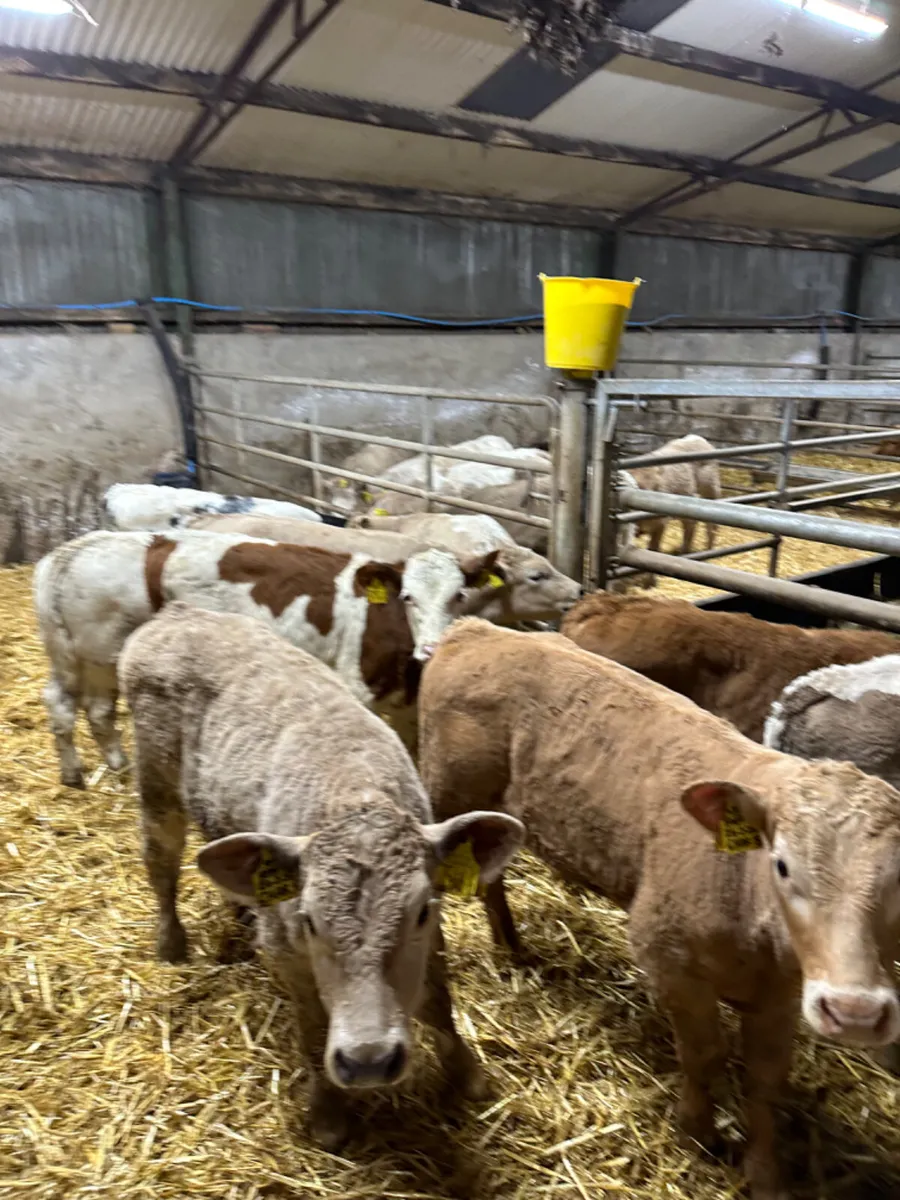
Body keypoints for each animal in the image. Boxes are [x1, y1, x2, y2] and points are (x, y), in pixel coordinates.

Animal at [34, 530, 493, 788]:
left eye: (459, 595)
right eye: (407, 597)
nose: (431, 648)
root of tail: (72, 551)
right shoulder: (357, 686)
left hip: (75, 658)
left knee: (67, 705)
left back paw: (90, 770)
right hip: (99, 655)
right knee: (91, 709)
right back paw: (100, 769)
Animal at [119, 603, 524, 1148]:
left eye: (420, 911)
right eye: (310, 920)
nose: (369, 1060)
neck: (354, 793)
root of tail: (179, 613)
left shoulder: (433, 935)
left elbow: (438, 999)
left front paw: (468, 1075)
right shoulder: (289, 954)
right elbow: (312, 1027)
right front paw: (329, 1115)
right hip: (156, 785)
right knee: (160, 861)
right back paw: (171, 943)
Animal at [418, 618, 900, 1200]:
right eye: (782, 864)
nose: (856, 1012)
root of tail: (476, 629)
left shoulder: (783, 996)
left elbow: (765, 1079)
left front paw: (765, 1173)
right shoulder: (669, 961)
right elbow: (703, 1054)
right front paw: (698, 1133)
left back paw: (511, 945)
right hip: (447, 797)